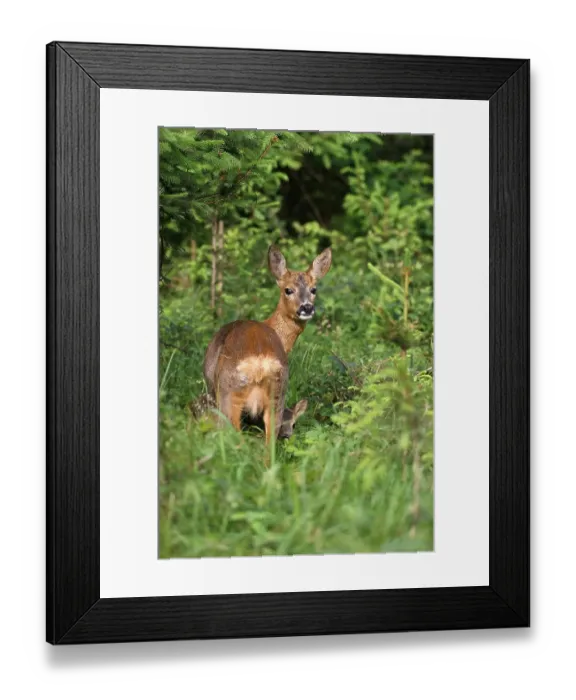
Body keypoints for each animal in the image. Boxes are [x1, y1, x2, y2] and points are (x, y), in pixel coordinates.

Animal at [201, 244, 332, 444]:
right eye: (288, 289)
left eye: (313, 289)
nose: (307, 307)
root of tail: (259, 363)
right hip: (278, 393)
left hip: (227, 392)